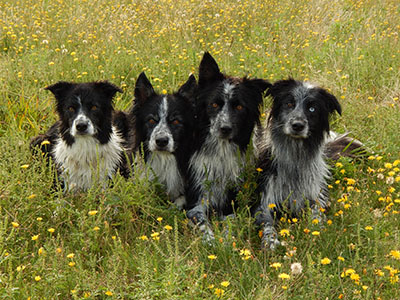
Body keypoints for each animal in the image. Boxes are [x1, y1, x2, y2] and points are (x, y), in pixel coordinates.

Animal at [186, 52, 270, 241]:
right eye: (214, 104)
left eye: (239, 106)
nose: (224, 128)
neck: (221, 152)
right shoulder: (197, 199)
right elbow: (202, 222)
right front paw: (211, 241)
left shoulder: (235, 201)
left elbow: (230, 221)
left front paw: (225, 240)